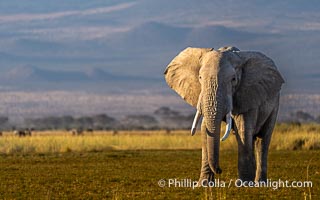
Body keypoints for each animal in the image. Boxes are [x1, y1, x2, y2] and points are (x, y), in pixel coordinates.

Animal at [164, 46, 284, 184]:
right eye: (200, 77)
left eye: (233, 80)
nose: (220, 170)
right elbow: (205, 128)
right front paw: (204, 184)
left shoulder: (248, 94)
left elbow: (242, 129)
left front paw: (244, 184)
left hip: (275, 104)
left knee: (263, 139)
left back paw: (259, 183)